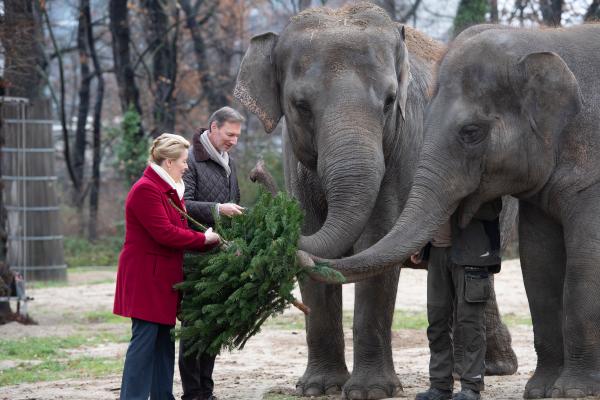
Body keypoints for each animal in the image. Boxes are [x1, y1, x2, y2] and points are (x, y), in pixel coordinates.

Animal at [234, 4, 516, 398]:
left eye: (389, 101)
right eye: (300, 106)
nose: (256, 171)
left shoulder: (403, 146)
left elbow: (376, 240)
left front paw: (370, 391)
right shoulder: (293, 158)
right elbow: (311, 234)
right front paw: (318, 387)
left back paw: (486, 370)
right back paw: (488, 368)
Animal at [312, 22, 600, 400]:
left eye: (471, 132)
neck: (543, 39)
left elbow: (585, 263)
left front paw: (573, 391)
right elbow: (538, 263)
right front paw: (540, 391)